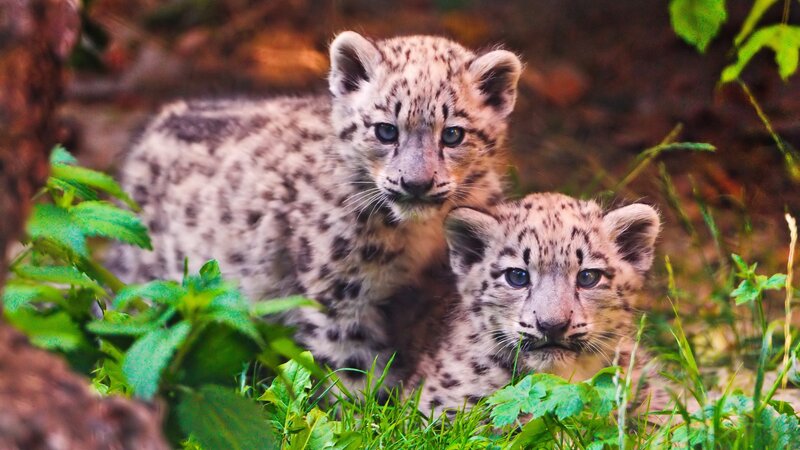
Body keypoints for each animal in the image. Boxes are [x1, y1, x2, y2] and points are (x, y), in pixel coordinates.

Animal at [106, 31, 523, 387]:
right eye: (386, 130)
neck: (420, 239)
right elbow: (355, 369)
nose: (416, 183)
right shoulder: (340, 293)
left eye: (453, 134)